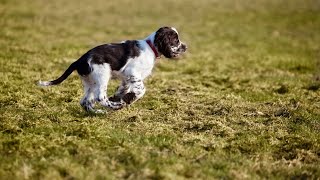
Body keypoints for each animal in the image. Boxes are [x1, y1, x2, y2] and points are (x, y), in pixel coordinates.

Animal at [38, 26, 188, 112]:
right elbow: (141, 89)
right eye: (176, 40)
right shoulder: (133, 72)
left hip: (90, 82)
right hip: (102, 75)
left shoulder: (127, 78)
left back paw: (99, 112)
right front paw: (128, 99)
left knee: (85, 101)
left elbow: (124, 89)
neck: (151, 47)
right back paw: (115, 107)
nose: (186, 47)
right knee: (100, 97)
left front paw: (120, 97)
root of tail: (79, 60)